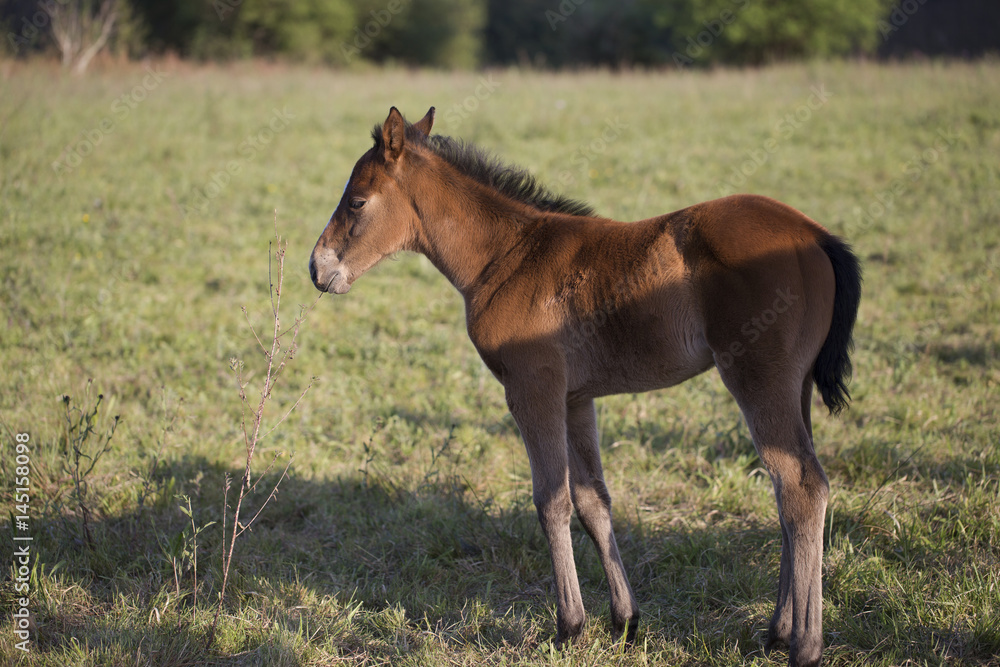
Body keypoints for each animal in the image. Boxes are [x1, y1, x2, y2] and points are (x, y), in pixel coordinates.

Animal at [309, 107, 861, 667]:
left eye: (357, 200)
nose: (318, 268)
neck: (507, 256)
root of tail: (816, 234)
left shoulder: (533, 389)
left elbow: (551, 501)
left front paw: (570, 626)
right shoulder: (576, 399)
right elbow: (593, 499)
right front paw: (624, 620)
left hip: (758, 379)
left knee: (802, 487)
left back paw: (805, 645)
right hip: (795, 388)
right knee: (788, 489)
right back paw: (778, 631)